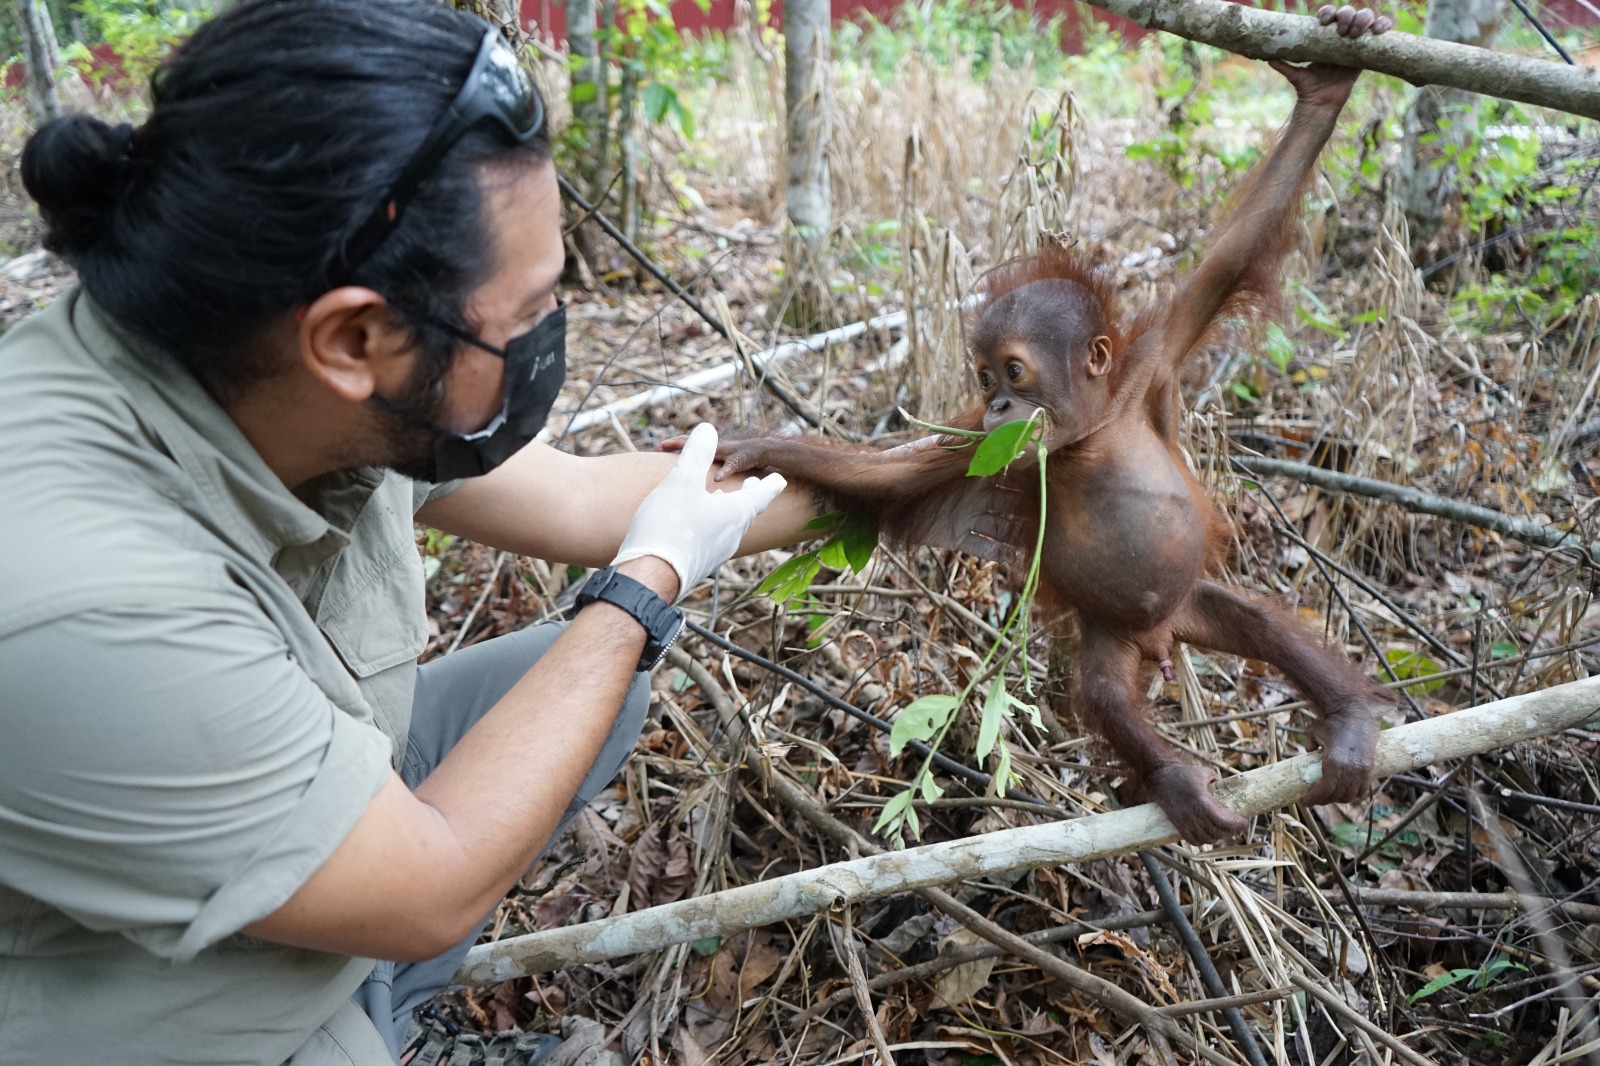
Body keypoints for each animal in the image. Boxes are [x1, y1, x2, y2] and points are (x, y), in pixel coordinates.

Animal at [672, 38, 1399, 845]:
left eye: (1013, 371)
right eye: (984, 377)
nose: (998, 403)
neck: (1090, 433)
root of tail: (1165, 634)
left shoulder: (1150, 364)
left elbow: (1231, 257)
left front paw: (1325, 88)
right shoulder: (979, 446)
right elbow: (888, 480)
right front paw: (757, 447)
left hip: (1191, 599)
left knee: (1262, 623)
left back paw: (1347, 721)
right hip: (1113, 634)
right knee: (1105, 694)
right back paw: (1176, 778)